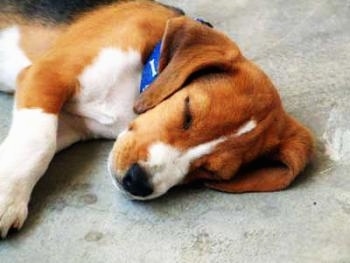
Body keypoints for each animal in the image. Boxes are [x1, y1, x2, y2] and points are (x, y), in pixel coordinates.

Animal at [0, 0, 314, 239]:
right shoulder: (46, 75)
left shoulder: (70, 123)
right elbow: (37, 143)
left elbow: (40, 147)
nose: (138, 182)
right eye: (188, 112)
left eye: (211, 172)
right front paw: (7, 200)